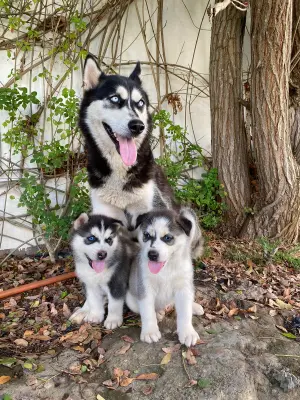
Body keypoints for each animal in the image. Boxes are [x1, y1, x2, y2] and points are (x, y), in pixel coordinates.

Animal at [124, 209, 204, 346]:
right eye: (147, 235)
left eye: (167, 237)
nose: (152, 254)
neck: (166, 269)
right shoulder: (145, 287)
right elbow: (147, 312)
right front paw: (150, 331)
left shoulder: (183, 287)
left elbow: (185, 312)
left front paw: (188, 332)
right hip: (131, 300)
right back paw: (159, 313)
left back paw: (194, 306)